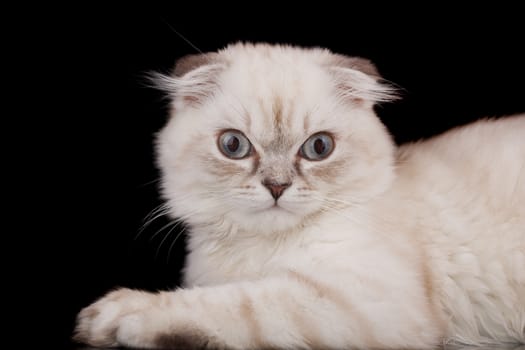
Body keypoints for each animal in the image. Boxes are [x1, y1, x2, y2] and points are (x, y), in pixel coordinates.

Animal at [74, 42, 524, 348]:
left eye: (318, 148)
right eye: (234, 146)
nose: (276, 186)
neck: (260, 250)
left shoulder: (363, 302)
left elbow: (235, 304)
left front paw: (116, 316)